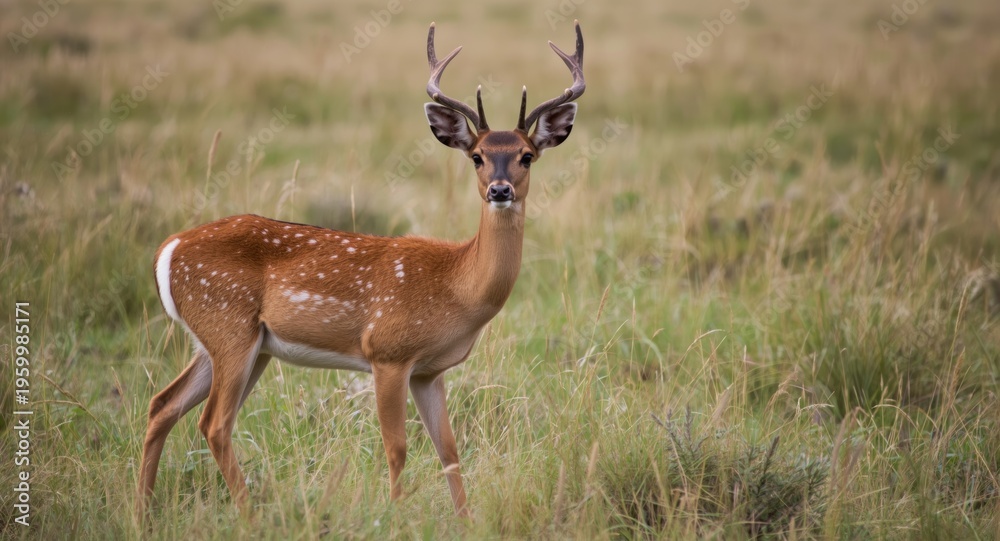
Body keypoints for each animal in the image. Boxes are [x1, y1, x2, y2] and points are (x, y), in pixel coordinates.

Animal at [137, 21, 585, 519]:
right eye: (477, 156)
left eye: (526, 155)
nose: (500, 190)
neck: (456, 287)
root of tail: (168, 249)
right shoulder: (386, 351)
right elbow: (398, 446)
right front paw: (397, 516)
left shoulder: (429, 371)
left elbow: (448, 449)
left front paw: (465, 520)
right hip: (229, 327)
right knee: (213, 422)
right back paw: (248, 514)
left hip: (232, 342)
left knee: (163, 404)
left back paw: (141, 513)